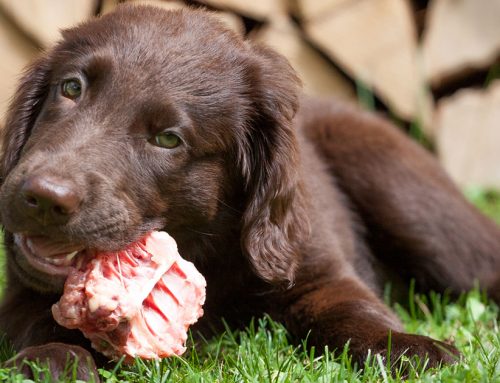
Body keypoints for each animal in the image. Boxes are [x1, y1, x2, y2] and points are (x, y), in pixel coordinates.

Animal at [0, 3, 500, 380]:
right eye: (71, 88)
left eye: (168, 139)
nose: (45, 197)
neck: (202, 244)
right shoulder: (22, 290)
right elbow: (33, 320)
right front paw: (52, 359)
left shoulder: (315, 266)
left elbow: (352, 308)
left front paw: (410, 347)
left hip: (410, 203)